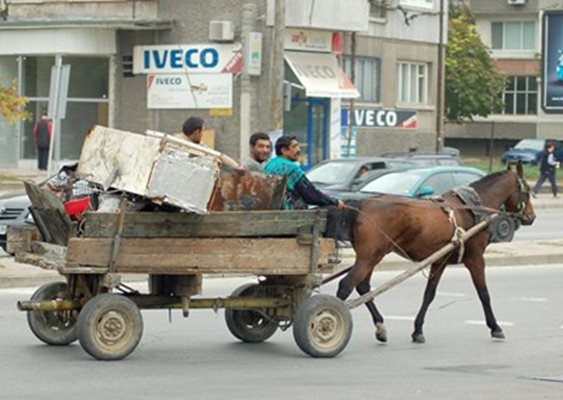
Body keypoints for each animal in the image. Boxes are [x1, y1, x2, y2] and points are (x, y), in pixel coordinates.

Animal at [338, 163, 536, 344]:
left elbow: (429, 294)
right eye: (527, 190)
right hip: (368, 257)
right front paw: (495, 327)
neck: (473, 208)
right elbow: (484, 293)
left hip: (372, 257)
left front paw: (417, 330)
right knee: (345, 286)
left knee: (363, 287)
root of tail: (362, 204)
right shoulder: (476, 258)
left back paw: (380, 326)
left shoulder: (439, 261)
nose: (531, 217)